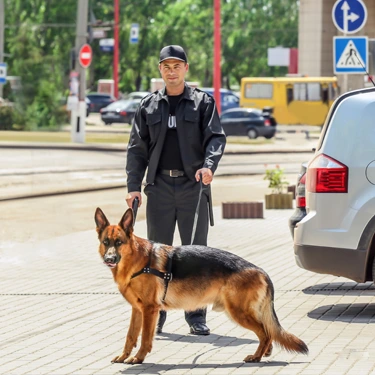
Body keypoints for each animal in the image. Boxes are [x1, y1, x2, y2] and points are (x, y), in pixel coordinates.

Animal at [95, 207, 310, 366]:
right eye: (106, 242)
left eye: (119, 242)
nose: (109, 259)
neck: (138, 261)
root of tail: (260, 270)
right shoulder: (137, 310)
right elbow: (130, 336)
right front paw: (124, 356)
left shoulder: (149, 310)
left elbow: (145, 338)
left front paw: (138, 358)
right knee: (269, 331)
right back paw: (264, 353)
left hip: (238, 312)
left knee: (266, 332)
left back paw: (256, 356)